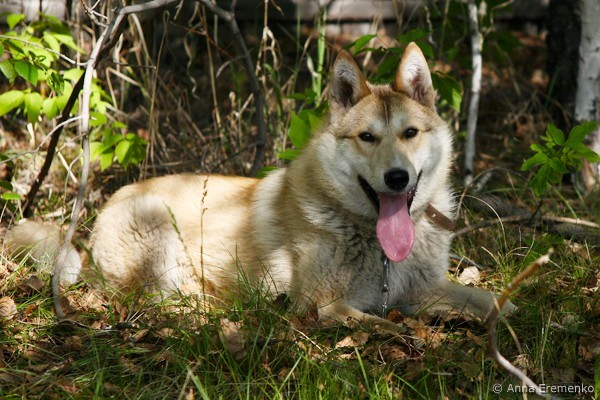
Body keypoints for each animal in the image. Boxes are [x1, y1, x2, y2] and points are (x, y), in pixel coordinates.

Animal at [5, 43, 513, 333]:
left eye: (410, 133)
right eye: (367, 137)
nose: (397, 178)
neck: (379, 248)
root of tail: (89, 235)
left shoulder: (423, 287)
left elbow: (496, 303)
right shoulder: (324, 306)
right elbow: (388, 325)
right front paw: (427, 327)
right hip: (158, 228)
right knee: (149, 297)